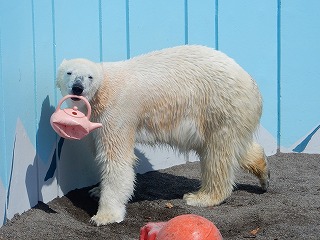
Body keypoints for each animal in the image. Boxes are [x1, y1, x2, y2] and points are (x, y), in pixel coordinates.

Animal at [57, 45, 270, 227]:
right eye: (69, 72)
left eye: (89, 77)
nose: (77, 88)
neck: (105, 87)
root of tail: (252, 85)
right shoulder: (97, 119)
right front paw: (96, 190)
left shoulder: (116, 112)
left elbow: (116, 161)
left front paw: (104, 216)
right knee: (234, 147)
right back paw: (264, 173)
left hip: (219, 106)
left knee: (217, 154)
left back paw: (201, 197)